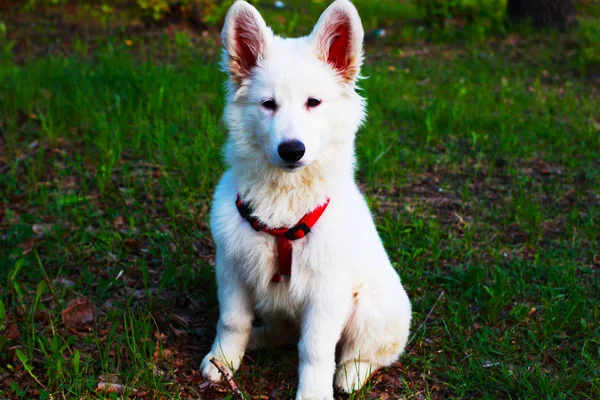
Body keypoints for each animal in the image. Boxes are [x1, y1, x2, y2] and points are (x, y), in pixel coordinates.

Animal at [202, 0, 412, 396]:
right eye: (268, 104)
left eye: (313, 103)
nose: (291, 150)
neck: (283, 205)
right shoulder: (232, 266)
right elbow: (232, 321)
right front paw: (222, 361)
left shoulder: (328, 290)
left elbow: (315, 349)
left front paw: (314, 393)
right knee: (283, 333)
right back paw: (257, 340)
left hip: (372, 307)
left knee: (367, 352)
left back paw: (350, 375)